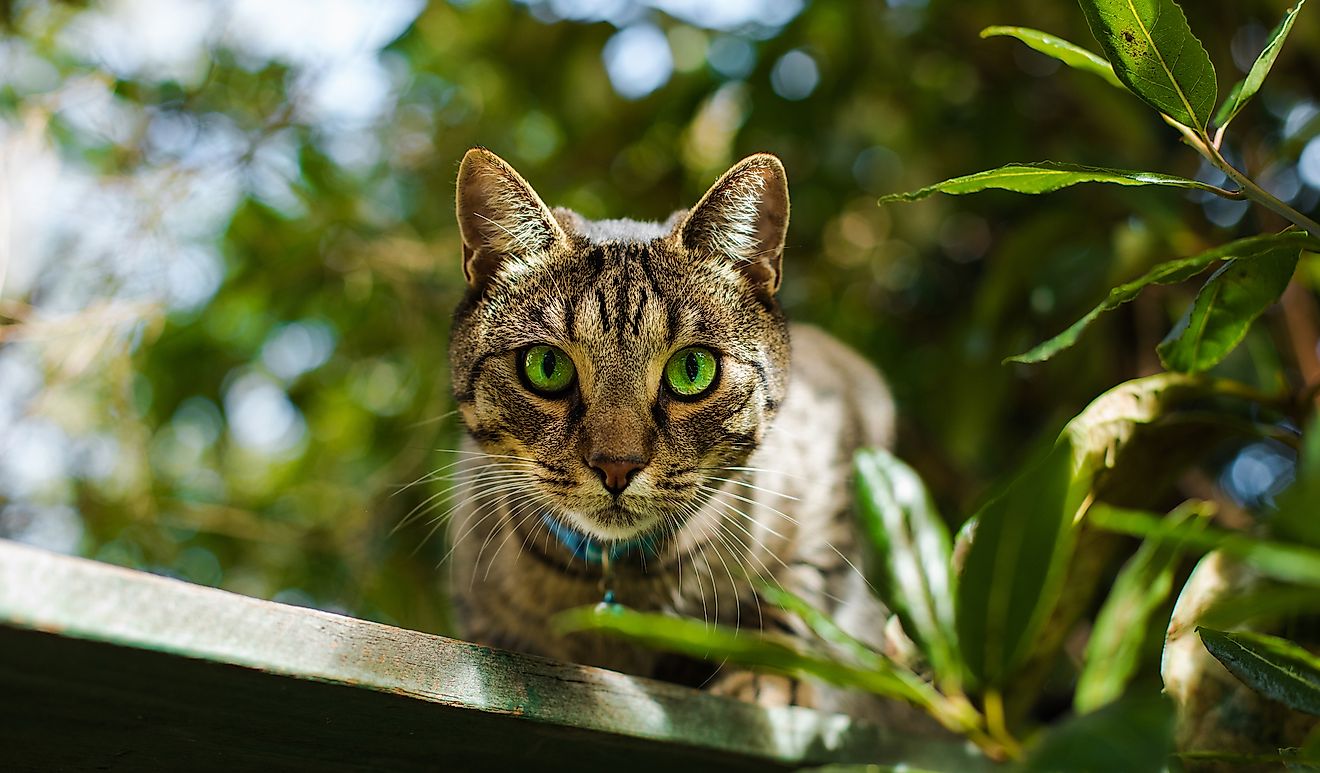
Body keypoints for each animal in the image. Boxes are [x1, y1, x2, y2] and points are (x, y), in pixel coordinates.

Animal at [448, 147, 913, 712]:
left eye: (692, 369)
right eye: (546, 366)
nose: (616, 465)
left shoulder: (841, 439)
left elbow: (798, 589)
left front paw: (765, 677)